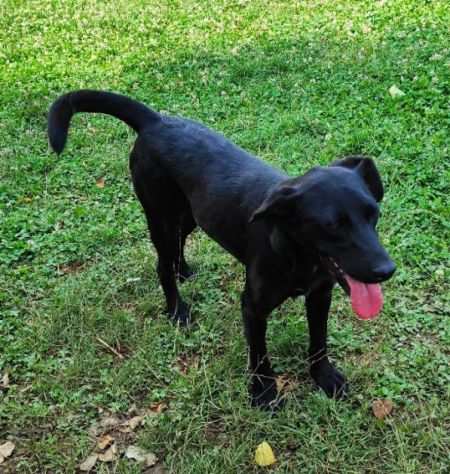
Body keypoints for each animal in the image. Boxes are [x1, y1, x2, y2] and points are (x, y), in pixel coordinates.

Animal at [49, 91, 394, 408]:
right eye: (332, 225)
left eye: (374, 213)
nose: (386, 270)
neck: (296, 253)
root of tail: (155, 121)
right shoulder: (253, 307)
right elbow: (260, 355)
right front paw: (263, 393)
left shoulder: (320, 295)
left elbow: (319, 342)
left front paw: (324, 377)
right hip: (160, 216)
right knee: (162, 264)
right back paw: (177, 310)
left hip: (192, 215)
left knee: (177, 248)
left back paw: (184, 271)